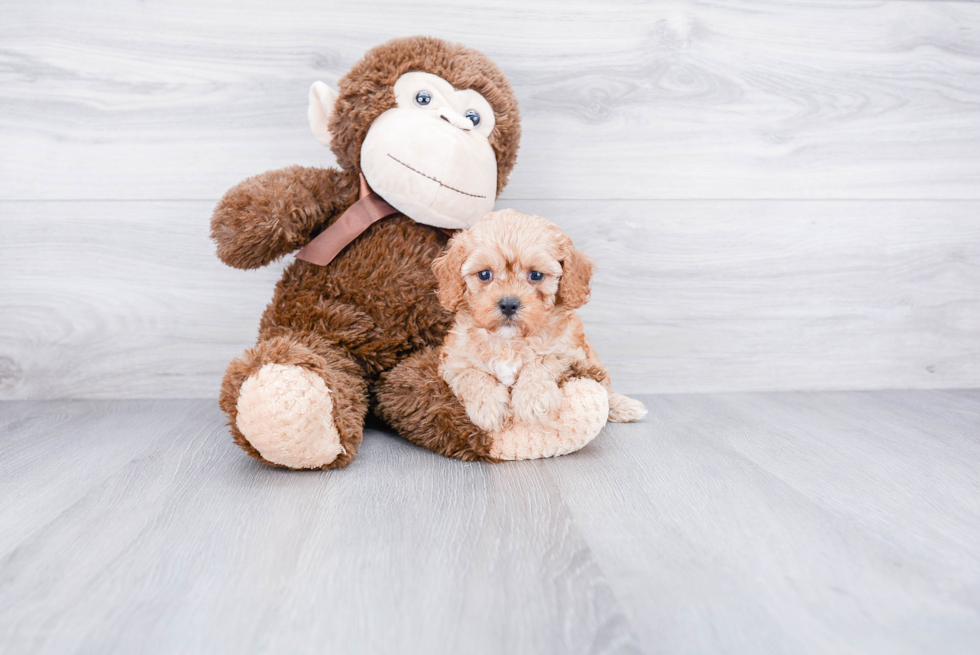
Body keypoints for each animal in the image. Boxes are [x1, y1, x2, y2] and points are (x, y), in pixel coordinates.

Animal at [432, 210, 648, 436]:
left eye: (536, 275)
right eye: (484, 274)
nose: (508, 304)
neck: (509, 341)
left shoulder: (569, 353)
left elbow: (542, 361)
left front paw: (533, 399)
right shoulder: (453, 362)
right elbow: (473, 375)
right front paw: (489, 407)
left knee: (606, 390)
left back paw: (624, 406)